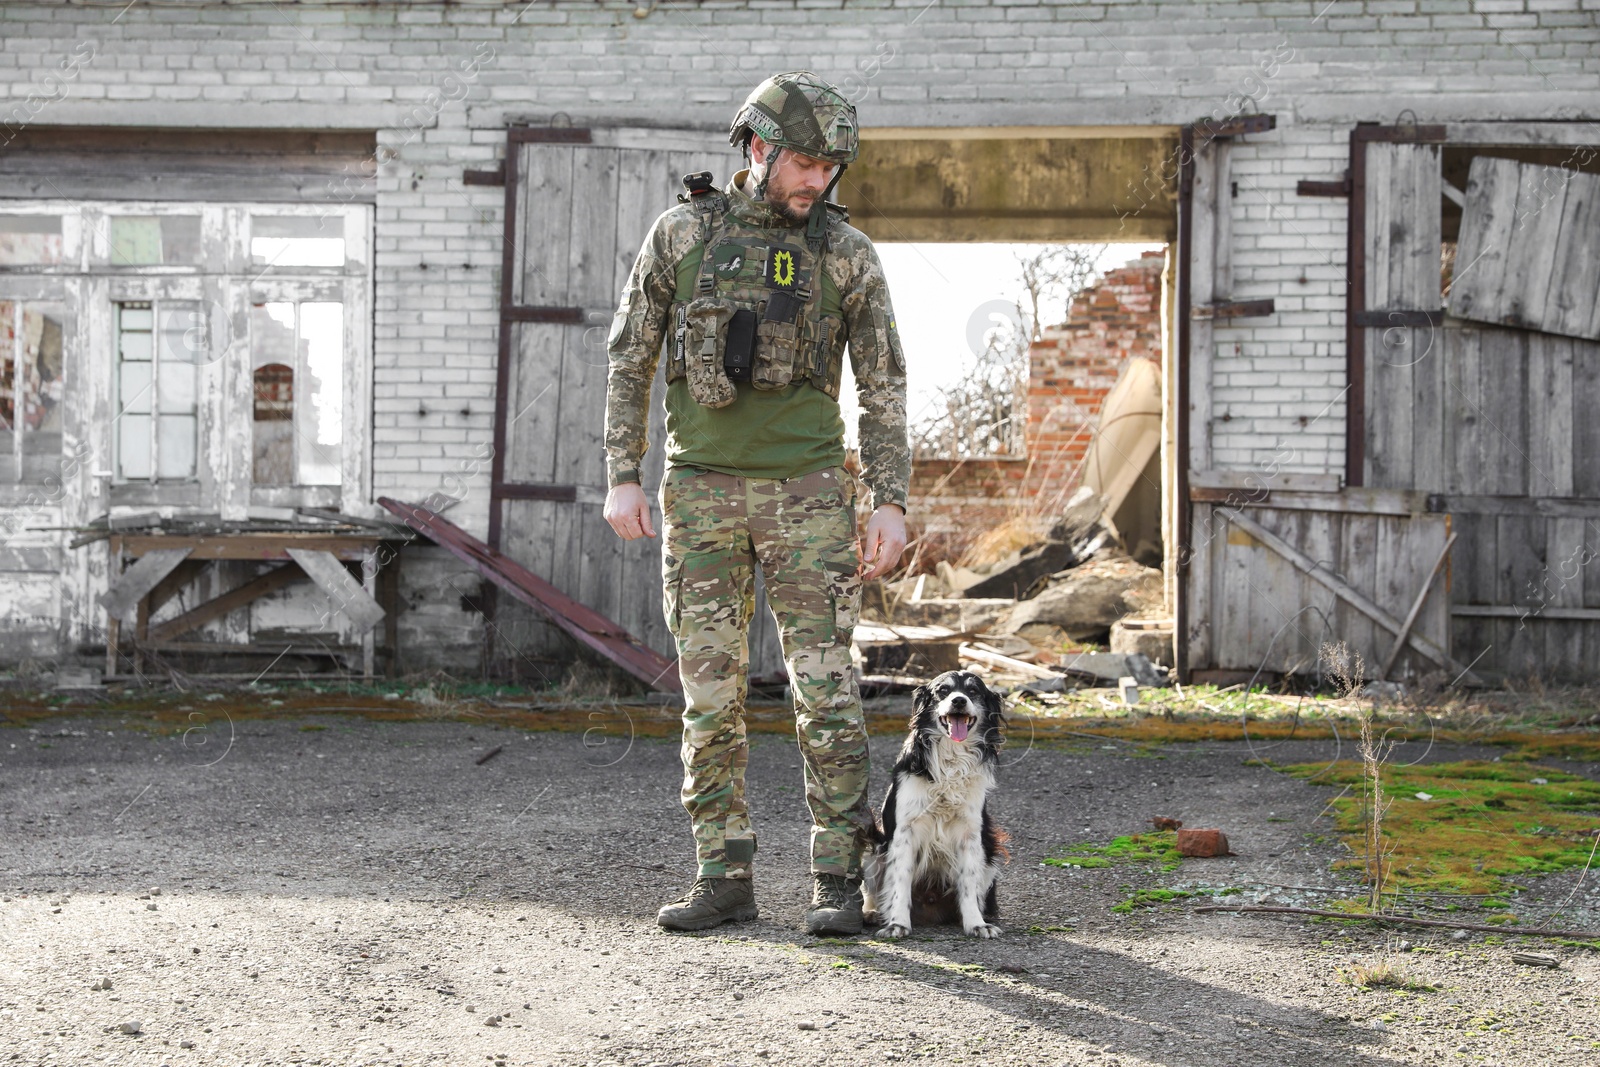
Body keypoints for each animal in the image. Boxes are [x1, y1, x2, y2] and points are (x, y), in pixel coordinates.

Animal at [870, 671, 1004, 940]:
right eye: (943, 691)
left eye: (973, 691)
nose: (959, 701)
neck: (951, 758)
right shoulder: (904, 833)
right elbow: (900, 881)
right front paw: (897, 923)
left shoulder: (971, 835)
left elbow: (969, 882)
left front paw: (976, 924)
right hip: (875, 849)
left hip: (990, 855)